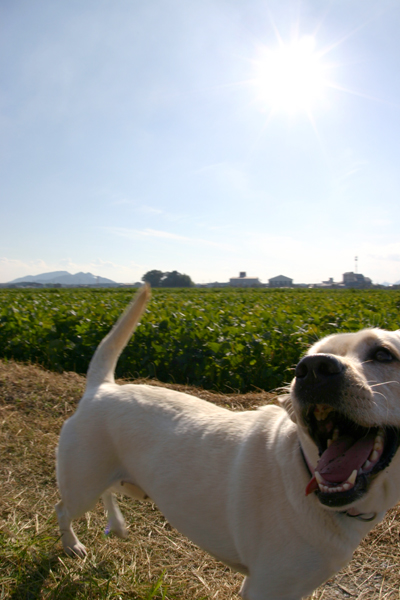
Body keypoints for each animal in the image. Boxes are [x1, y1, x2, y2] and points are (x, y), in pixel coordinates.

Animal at [55, 288, 400, 600]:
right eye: (304, 360)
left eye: (384, 354)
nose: (312, 368)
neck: (305, 469)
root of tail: (102, 387)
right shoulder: (266, 588)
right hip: (82, 482)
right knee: (64, 508)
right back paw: (73, 545)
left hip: (118, 479)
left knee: (109, 491)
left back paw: (116, 526)